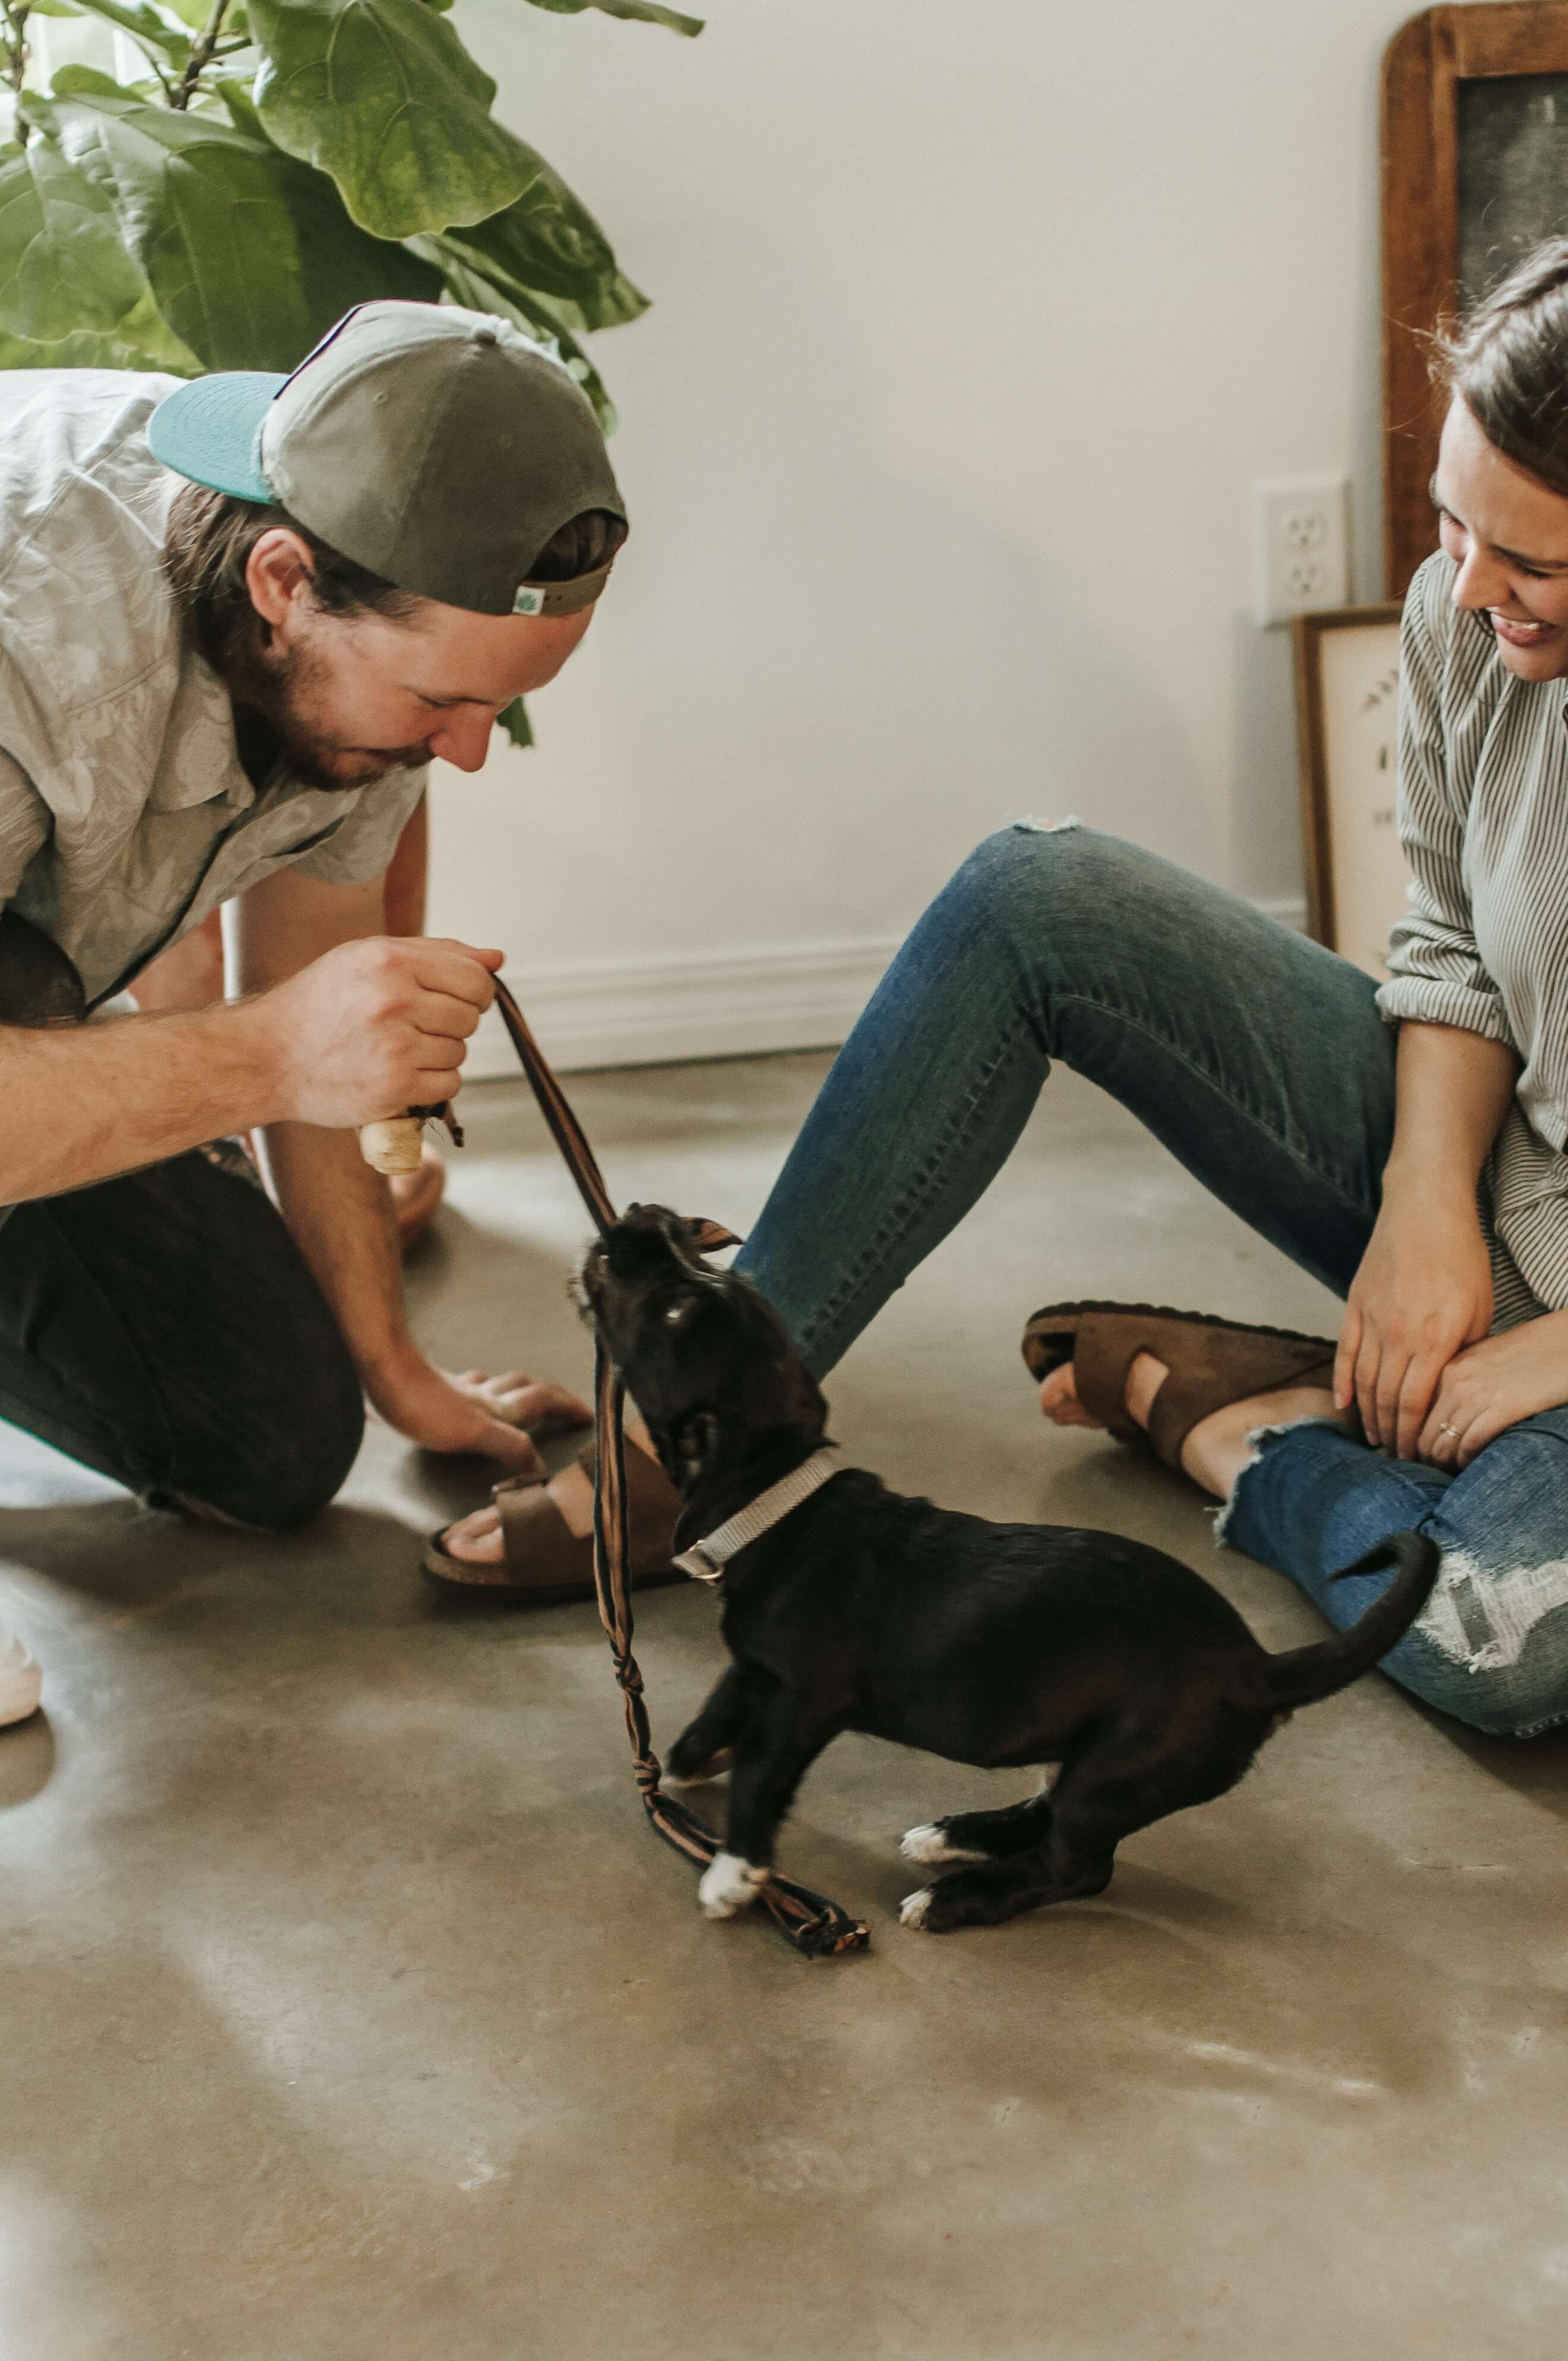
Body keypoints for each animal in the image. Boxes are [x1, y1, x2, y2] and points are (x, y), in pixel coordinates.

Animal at [580, 1208, 1435, 1926]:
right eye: (696, 1265)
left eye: (674, 1311)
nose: (643, 1216)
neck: (781, 1499)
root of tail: (1257, 1666)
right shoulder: (758, 1667)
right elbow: (722, 1703)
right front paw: (684, 1763)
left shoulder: (803, 1703)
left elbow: (761, 1775)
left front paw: (734, 1871)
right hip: (1090, 1757)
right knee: (1046, 1814)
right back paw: (953, 1834)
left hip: (1116, 1770)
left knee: (1075, 1864)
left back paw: (956, 1896)